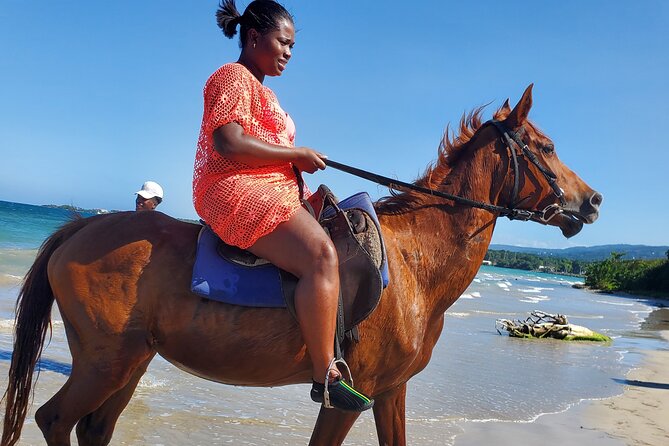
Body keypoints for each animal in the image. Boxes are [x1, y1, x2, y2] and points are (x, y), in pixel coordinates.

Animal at [2, 85, 604, 444]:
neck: (415, 261)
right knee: (55, 420)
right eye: (546, 147)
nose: (593, 201)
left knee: (93, 427)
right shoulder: (348, 399)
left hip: (130, 363)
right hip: (106, 363)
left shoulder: (391, 393)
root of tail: (82, 227)